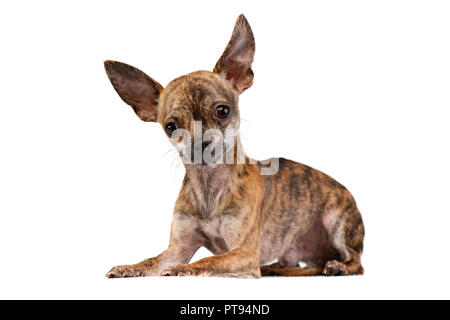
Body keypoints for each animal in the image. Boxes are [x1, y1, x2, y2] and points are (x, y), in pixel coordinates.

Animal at [103, 14, 364, 278]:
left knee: (356, 263)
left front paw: (181, 269)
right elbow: (152, 260)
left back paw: (338, 266)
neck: (209, 187)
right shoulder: (179, 246)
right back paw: (278, 269)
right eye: (171, 127)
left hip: (338, 223)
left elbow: (206, 261)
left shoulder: (244, 252)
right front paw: (130, 267)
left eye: (223, 111)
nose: (200, 143)